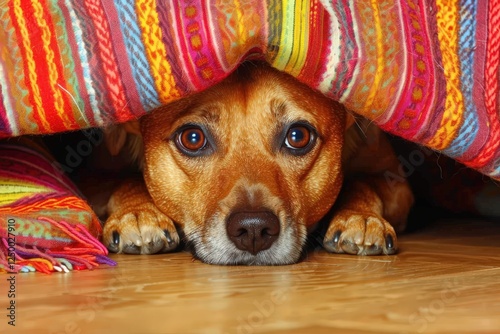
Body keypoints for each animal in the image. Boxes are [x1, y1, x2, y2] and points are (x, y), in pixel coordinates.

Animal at [101, 61, 414, 264]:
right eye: (192, 138)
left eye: (298, 136)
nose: (253, 230)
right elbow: (127, 180)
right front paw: (139, 214)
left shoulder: (396, 183)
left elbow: (361, 182)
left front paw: (359, 218)